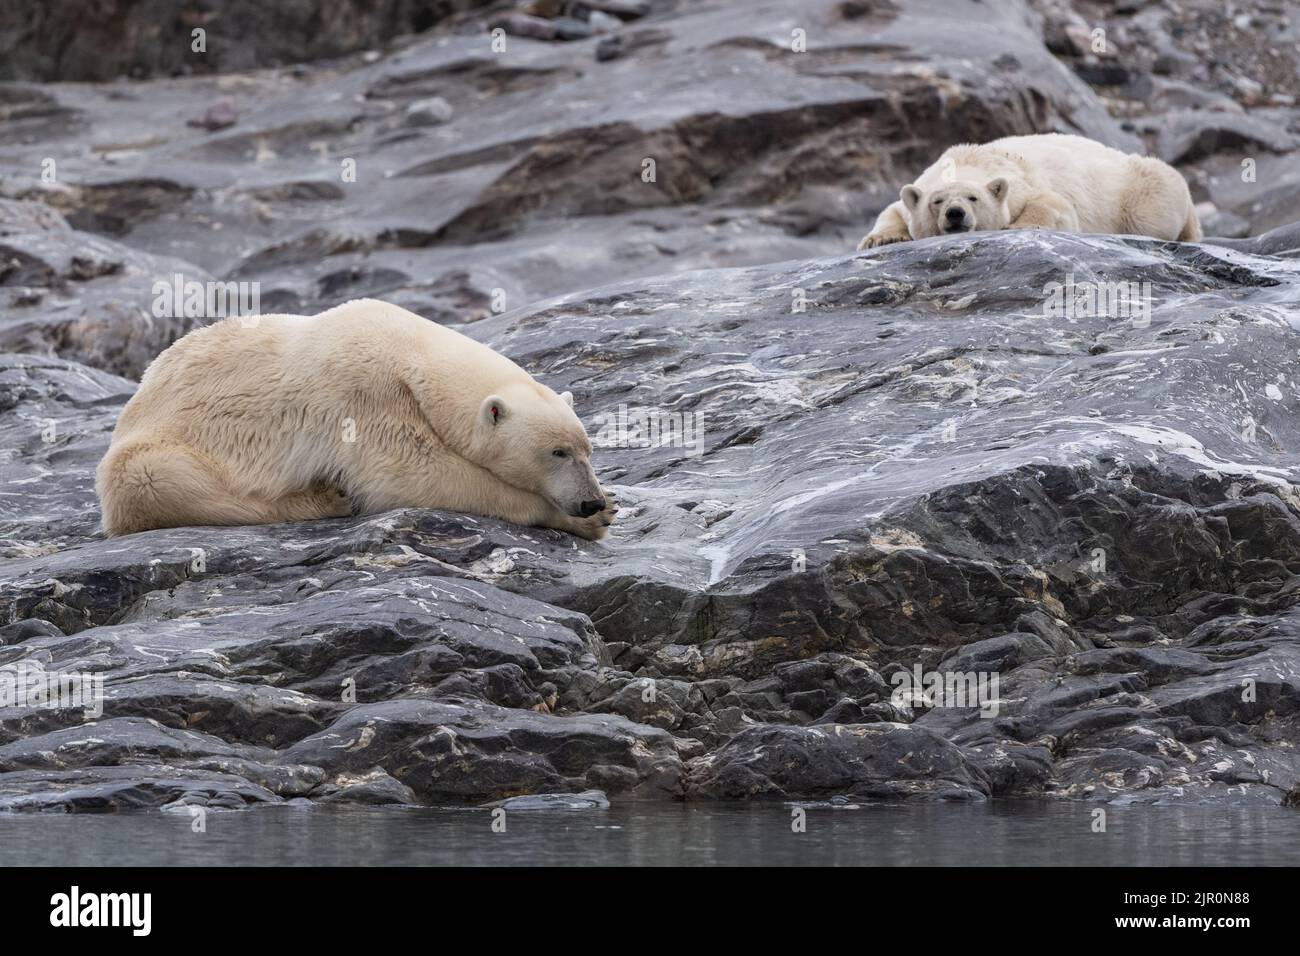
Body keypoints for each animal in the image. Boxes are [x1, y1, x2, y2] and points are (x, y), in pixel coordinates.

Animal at [96, 297, 613, 538]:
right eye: (557, 452)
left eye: (587, 449)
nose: (589, 501)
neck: (411, 352)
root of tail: (136, 398)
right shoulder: (365, 397)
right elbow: (414, 475)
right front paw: (583, 520)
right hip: (158, 448)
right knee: (153, 479)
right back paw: (325, 498)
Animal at [857, 132, 1201, 251]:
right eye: (937, 201)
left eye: (973, 198)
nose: (955, 214)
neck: (967, 159)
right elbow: (893, 209)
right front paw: (880, 239)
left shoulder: (1021, 183)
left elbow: (1056, 206)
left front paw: (1018, 226)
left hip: (1142, 187)